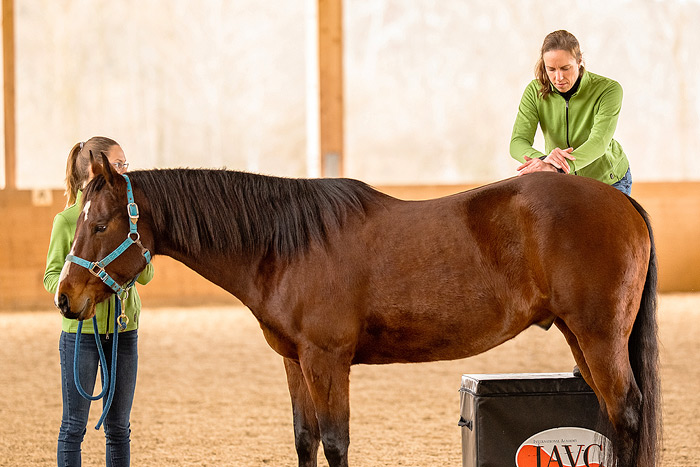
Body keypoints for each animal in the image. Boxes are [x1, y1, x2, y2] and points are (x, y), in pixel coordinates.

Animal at [57, 154, 660, 467]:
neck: (288, 245)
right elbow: (305, 440)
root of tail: (621, 200)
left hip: (599, 336)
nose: (66, 298)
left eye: (101, 224)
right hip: (581, 337)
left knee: (628, 413)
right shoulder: (295, 361)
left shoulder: (327, 361)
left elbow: (335, 441)